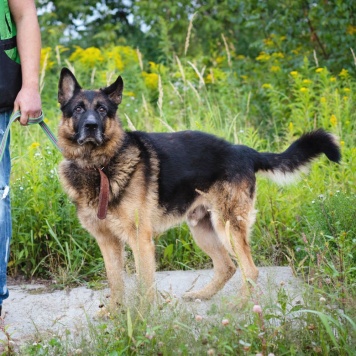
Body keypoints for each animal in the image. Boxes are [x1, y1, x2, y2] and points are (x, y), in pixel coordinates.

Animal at [57, 67, 340, 306]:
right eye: (78, 109)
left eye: (102, 110)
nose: (91, 126)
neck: (98, 165)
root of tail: (245, 151)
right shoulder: (107, 242)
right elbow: (115, 283)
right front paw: (114, 315)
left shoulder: (141, 240)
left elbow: (145, 285)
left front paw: (144, 320)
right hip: (203, 228)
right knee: (227, 267)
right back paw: (203, 295)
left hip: (227, 226)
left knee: (250, 269)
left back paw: (239, 307)